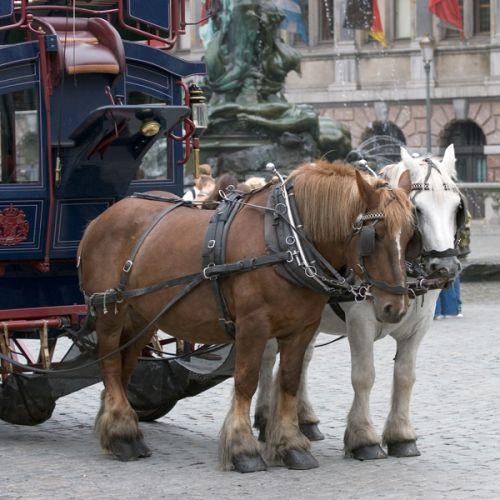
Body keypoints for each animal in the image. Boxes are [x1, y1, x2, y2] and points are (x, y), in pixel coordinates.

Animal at [78, 161, 414, 472]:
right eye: (375, 235)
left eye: (411, 234)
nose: (395, 306)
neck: (287, 241)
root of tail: (100, 218)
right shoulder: (252, 326)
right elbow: (246, 381)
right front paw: (243, 449)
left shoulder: (302, 329)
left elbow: (289, 381)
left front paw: (291, 445)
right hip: (111, 313)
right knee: (110, 366)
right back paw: (122, 435)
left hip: (141, 319)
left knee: (123, 369)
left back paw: (119, 428)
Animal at [256, 145, 462, 460]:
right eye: (418, 210)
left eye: (456, 207)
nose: (445, 267)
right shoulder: (360, 323)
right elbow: (364, 376)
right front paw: (363, 437)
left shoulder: (419, 327)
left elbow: (405, 376)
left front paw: (401, 435)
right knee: (267, 359)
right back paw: (265, 418)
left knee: (302, 359)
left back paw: (304, 421)